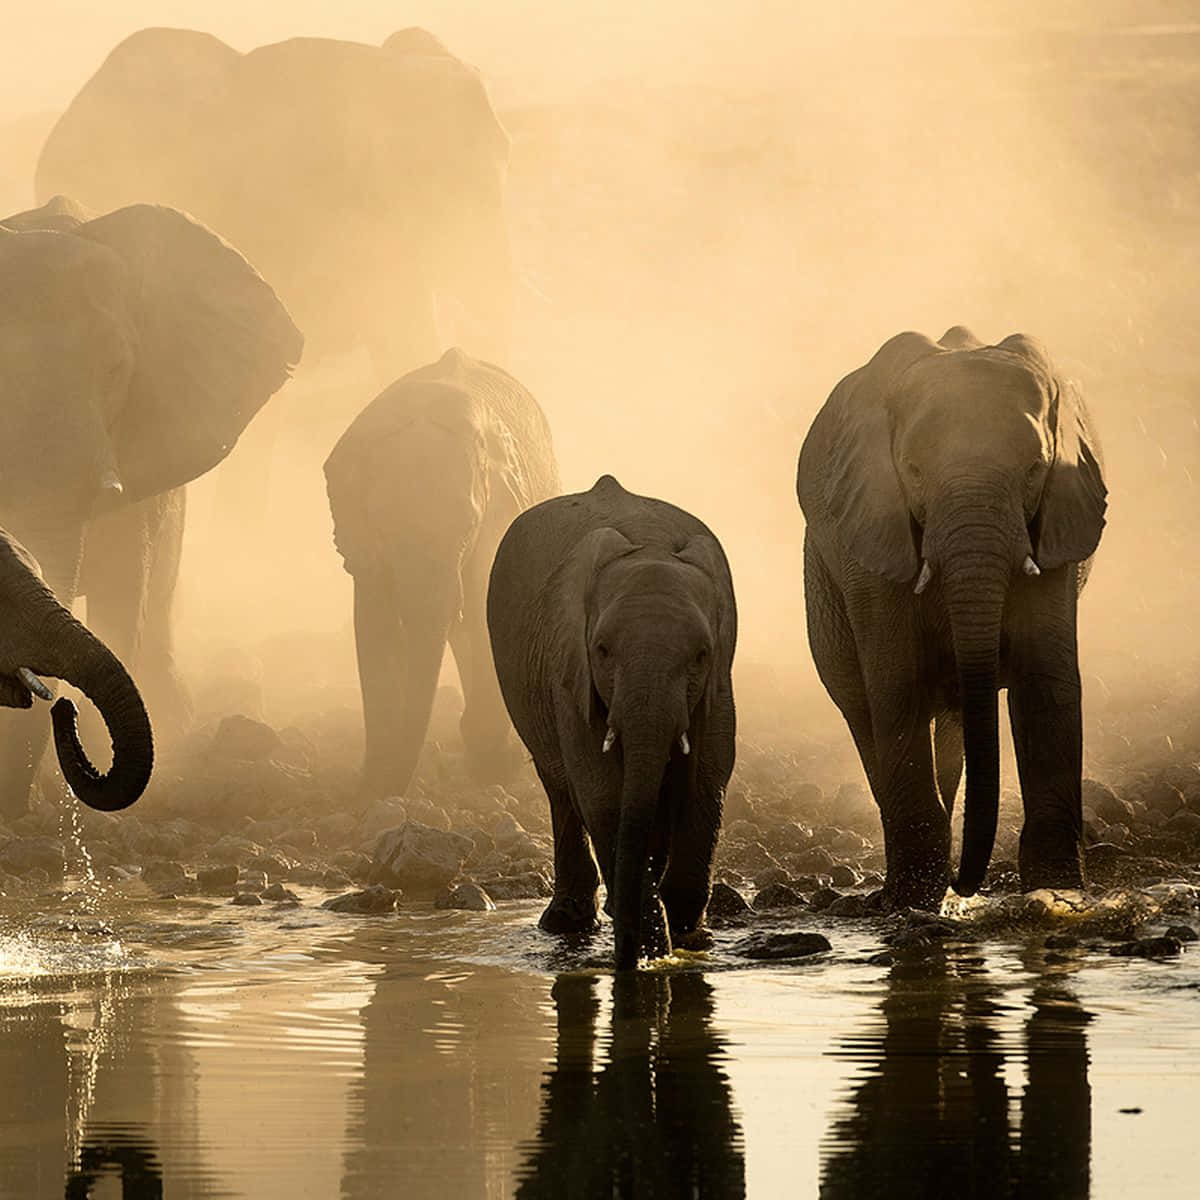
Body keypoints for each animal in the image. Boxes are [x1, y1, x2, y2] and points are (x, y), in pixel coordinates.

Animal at [325, 349, 559, 800]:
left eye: (467, 528)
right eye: (382, 529)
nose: (393, 790)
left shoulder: (496, 521)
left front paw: (494, 766)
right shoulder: (364, 544)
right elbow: (375, 623)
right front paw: (373, 787)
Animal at [487, 475, 737, 970]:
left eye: (701, 654)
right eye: (602, 650)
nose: (624, 960)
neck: (649, 544)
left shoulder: (720, 678)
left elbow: (708, 775)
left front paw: (687, 937)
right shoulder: (569, 669)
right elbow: (601, 787)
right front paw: (650, 948)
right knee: (560, 786)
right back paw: (568, 922)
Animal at [797, 326, 1106, 909]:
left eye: (1035, 469)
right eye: (914, 471)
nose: (969, 882)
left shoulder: (1056, 523)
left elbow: (1046, 683)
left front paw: (1058, 896)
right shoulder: (872, 531)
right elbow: (896, 684)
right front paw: (911, 905)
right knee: (860, 705)